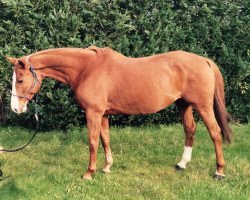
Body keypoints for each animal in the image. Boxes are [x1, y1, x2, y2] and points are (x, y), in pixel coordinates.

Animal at [6, 46, 232, 180]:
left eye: (20, 80)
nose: (16, 109)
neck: (86, 69)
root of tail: (204, 60)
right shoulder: (103, 114)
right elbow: (105, 139)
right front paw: (107, 167)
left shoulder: (93, 113)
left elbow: (93, 141)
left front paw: (89, 173)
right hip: (183, 105)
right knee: (190, 130)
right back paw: (182, 164)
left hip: (203, 106)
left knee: (215, 133)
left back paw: (219, 171)